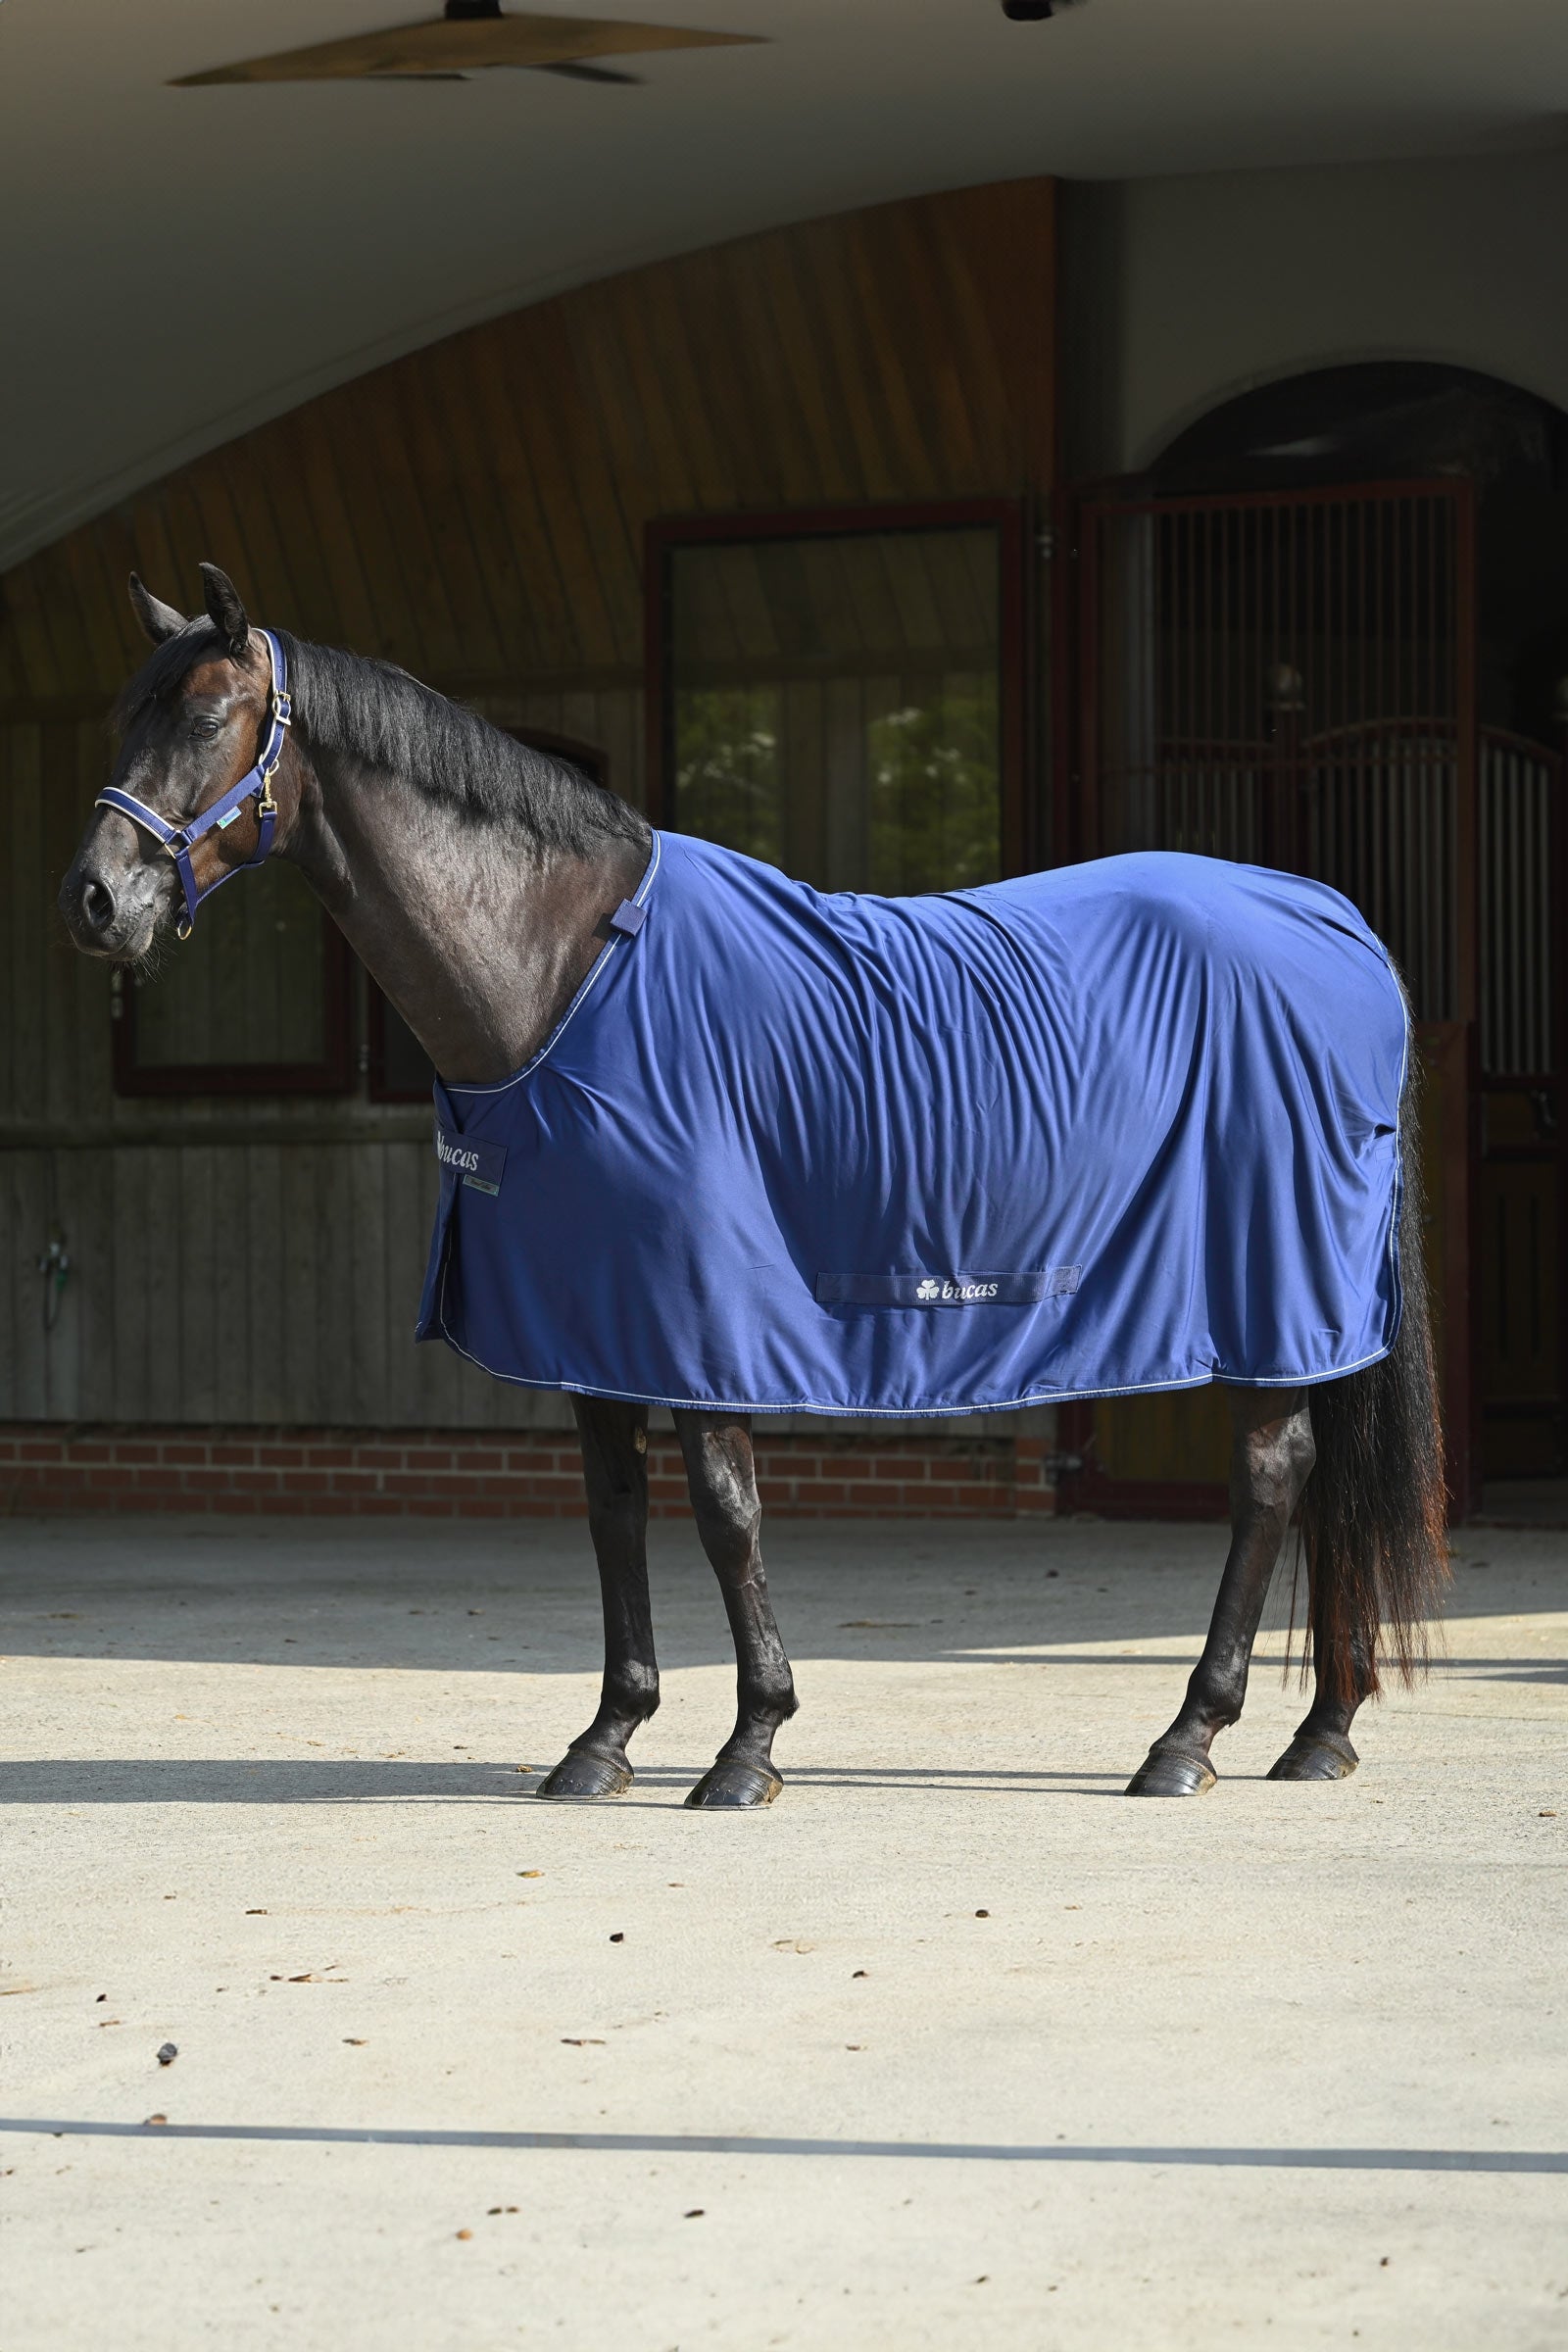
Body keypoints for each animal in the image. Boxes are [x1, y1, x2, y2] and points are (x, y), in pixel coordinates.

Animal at [59, 564, 1450, 1809]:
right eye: (123, 715)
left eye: (206, 717)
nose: (95, 901)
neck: (565, 976)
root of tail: (1328, 916)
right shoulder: (590, 1325)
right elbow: (614, 1513)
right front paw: (605, 1741)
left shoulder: (701, 1322)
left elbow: (727, 1514)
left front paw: (748, 1748)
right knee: (1324, 1478)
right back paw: (1319, 1731)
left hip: (1272, 1288)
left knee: (1272, 1474)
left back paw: (1187, 1738)